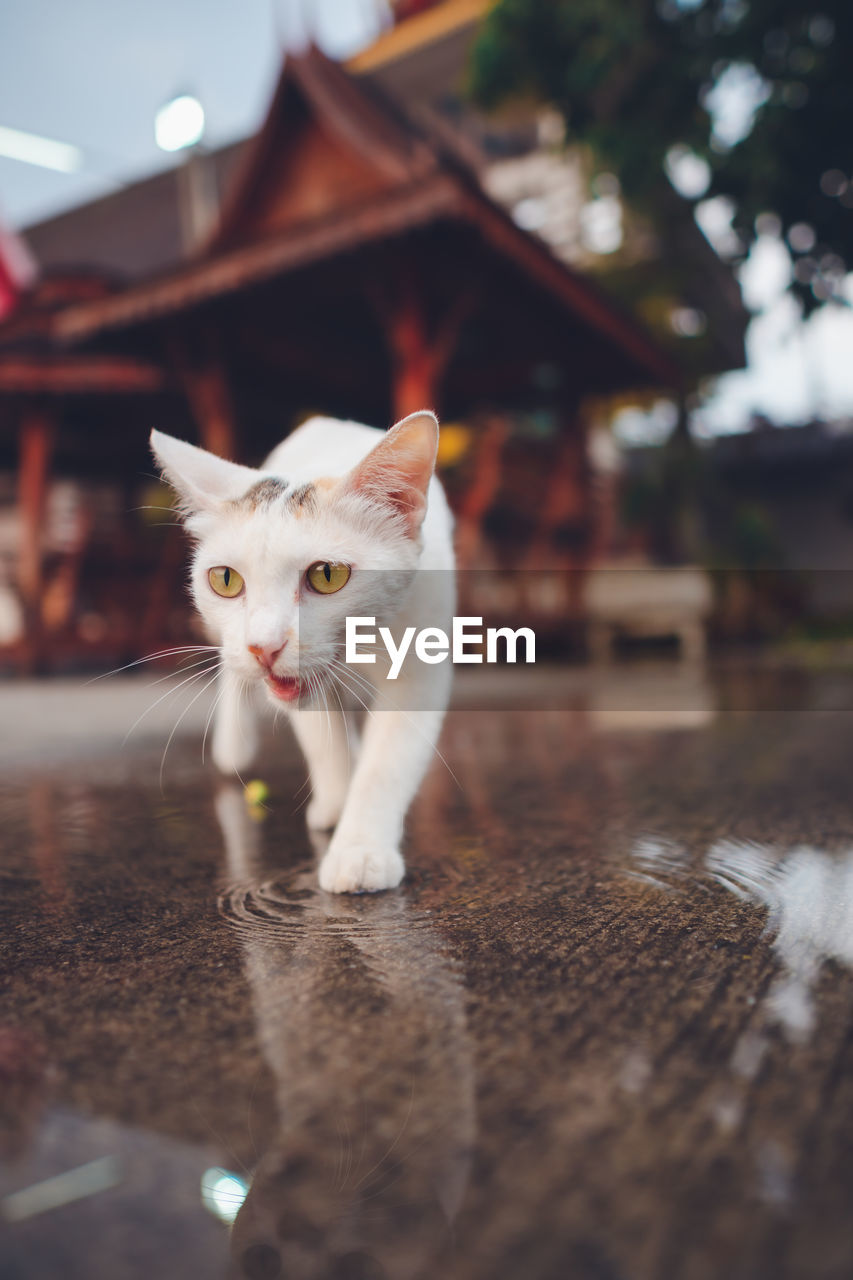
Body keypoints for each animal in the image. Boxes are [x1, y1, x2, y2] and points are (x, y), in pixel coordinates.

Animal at [149, 414, 455, 896]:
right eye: (225, 580)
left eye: (328, 575)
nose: (264, 646)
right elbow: (323, 739)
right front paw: (337, 803)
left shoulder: (421, 663)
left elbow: (388, 760)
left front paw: (360, 847)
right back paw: (235, 745)